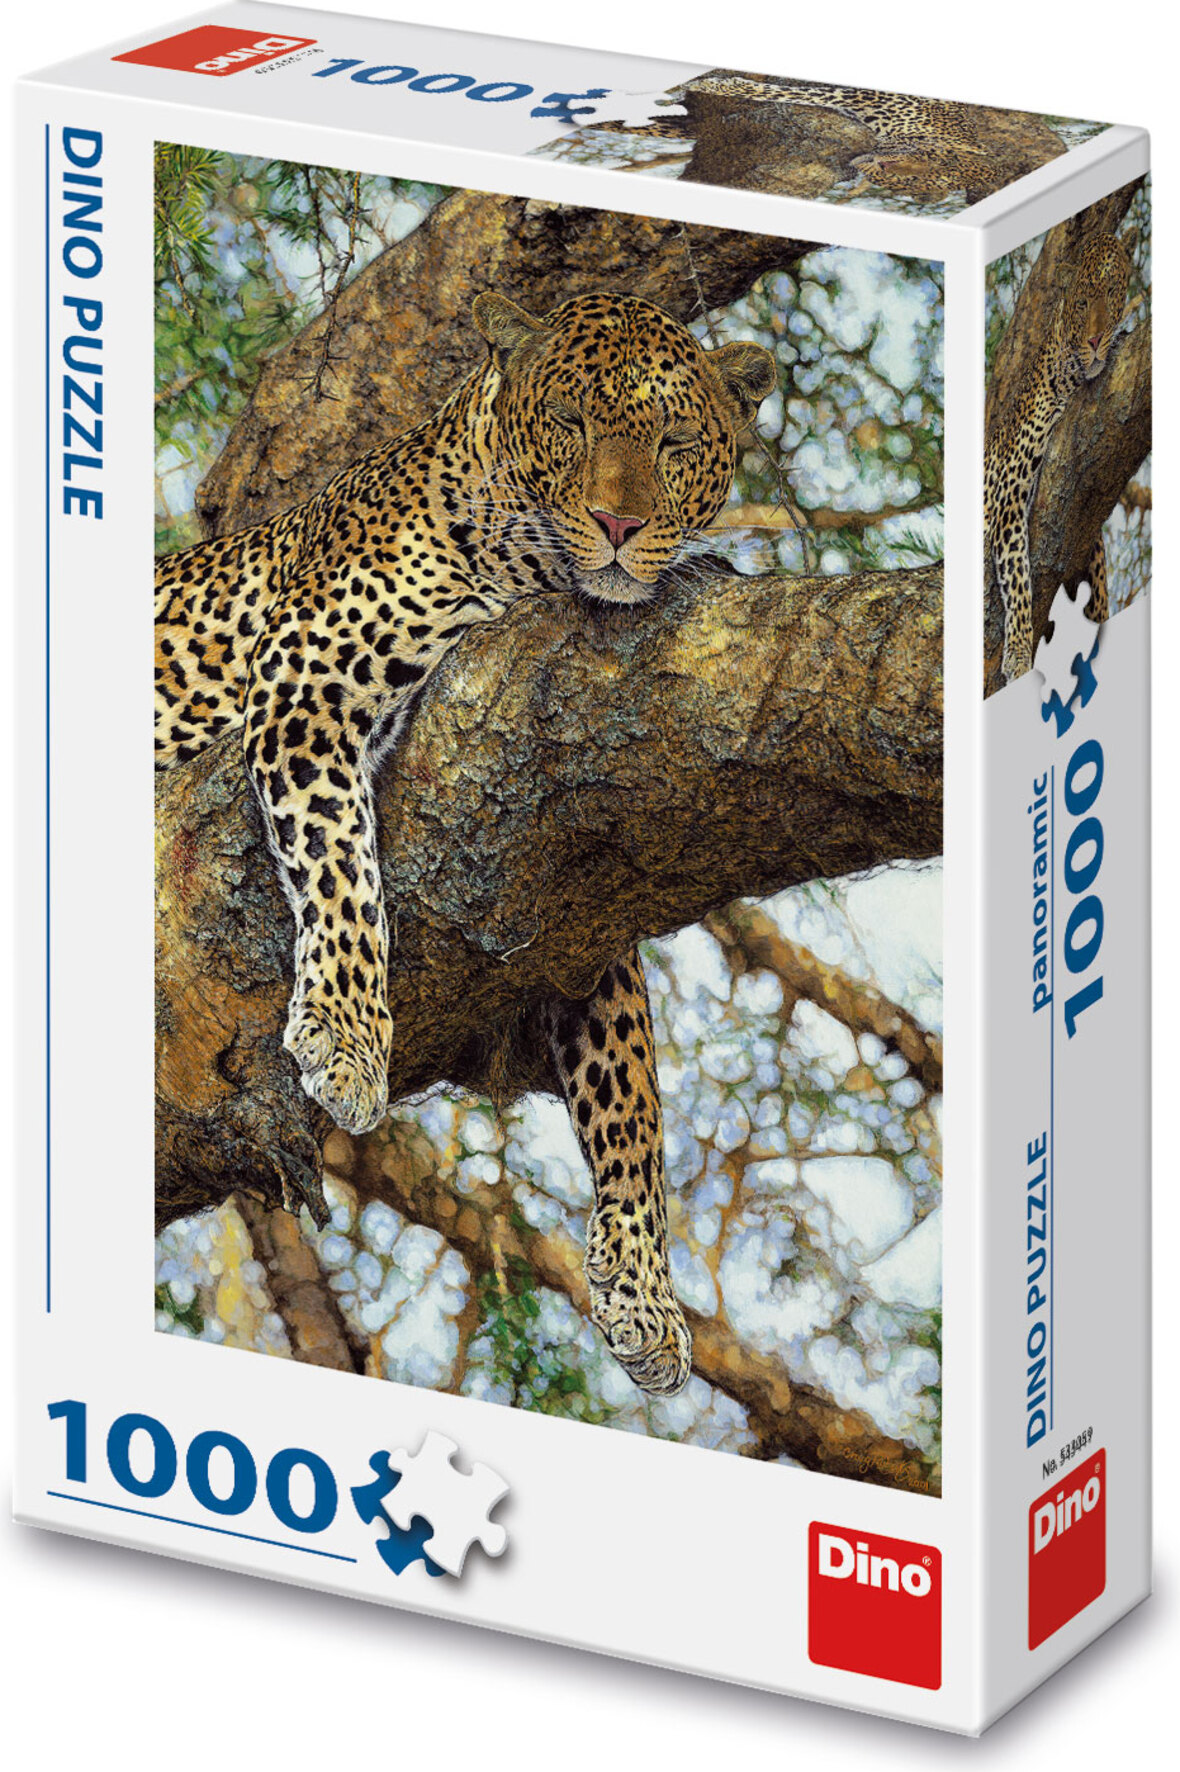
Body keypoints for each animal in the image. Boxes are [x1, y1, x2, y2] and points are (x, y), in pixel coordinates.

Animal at [155, 290, 777, 1397]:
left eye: (674, 442)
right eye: (569, 422)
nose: (620, 526)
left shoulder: (578, 900)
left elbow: (634, 1085)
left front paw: (643, 1293)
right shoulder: (306, 679)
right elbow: (341, 863)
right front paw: (347, 1035)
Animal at [984, 231, 1135, 684]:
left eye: (1112, 294)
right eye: (1082, 303)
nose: (1096, 341)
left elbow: (1098, 580)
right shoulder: (1010, 497)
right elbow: (1019, 576)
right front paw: (1018, 654)